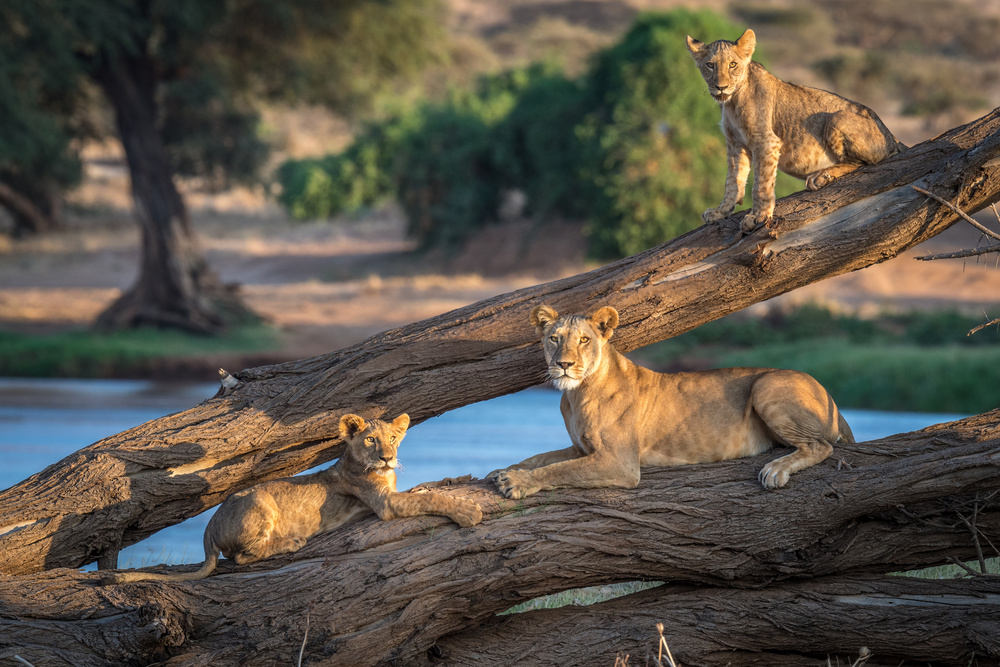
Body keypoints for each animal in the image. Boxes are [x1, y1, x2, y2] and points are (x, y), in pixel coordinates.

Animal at [105, 413, 483, 583]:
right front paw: (469, 511)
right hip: (260, 501)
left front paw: (460, 479)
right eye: (370, 440)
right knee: (242, 556)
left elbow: (428, 487)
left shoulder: (394, 492)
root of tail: (208, 530)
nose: (388, 457)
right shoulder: (386, 504)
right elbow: (431, 498)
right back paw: (291, 542)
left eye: (392, 437)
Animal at [489, 305, 854, 499]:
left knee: (821, 445)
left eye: (583, 340)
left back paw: (775, 470)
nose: (563, 364)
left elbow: (559, 469)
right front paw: (502, 470)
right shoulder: (582, 449)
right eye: (554, 338)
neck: (575, 393)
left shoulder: (620, 463)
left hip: (767, 385)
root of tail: (834, 400)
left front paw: (516, 482)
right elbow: (541, 457)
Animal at [686, 28, 905, 233]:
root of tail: (891, 135)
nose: (720, 87)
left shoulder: (766, 141)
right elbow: (732, 181)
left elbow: (761, 184)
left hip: (837, 117)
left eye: (732, 64)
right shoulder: (735, 144)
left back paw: (821, 176)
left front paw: (758, 217)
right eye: (710, 65)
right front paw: (721, 211)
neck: (731, 102)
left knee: (863, 163)